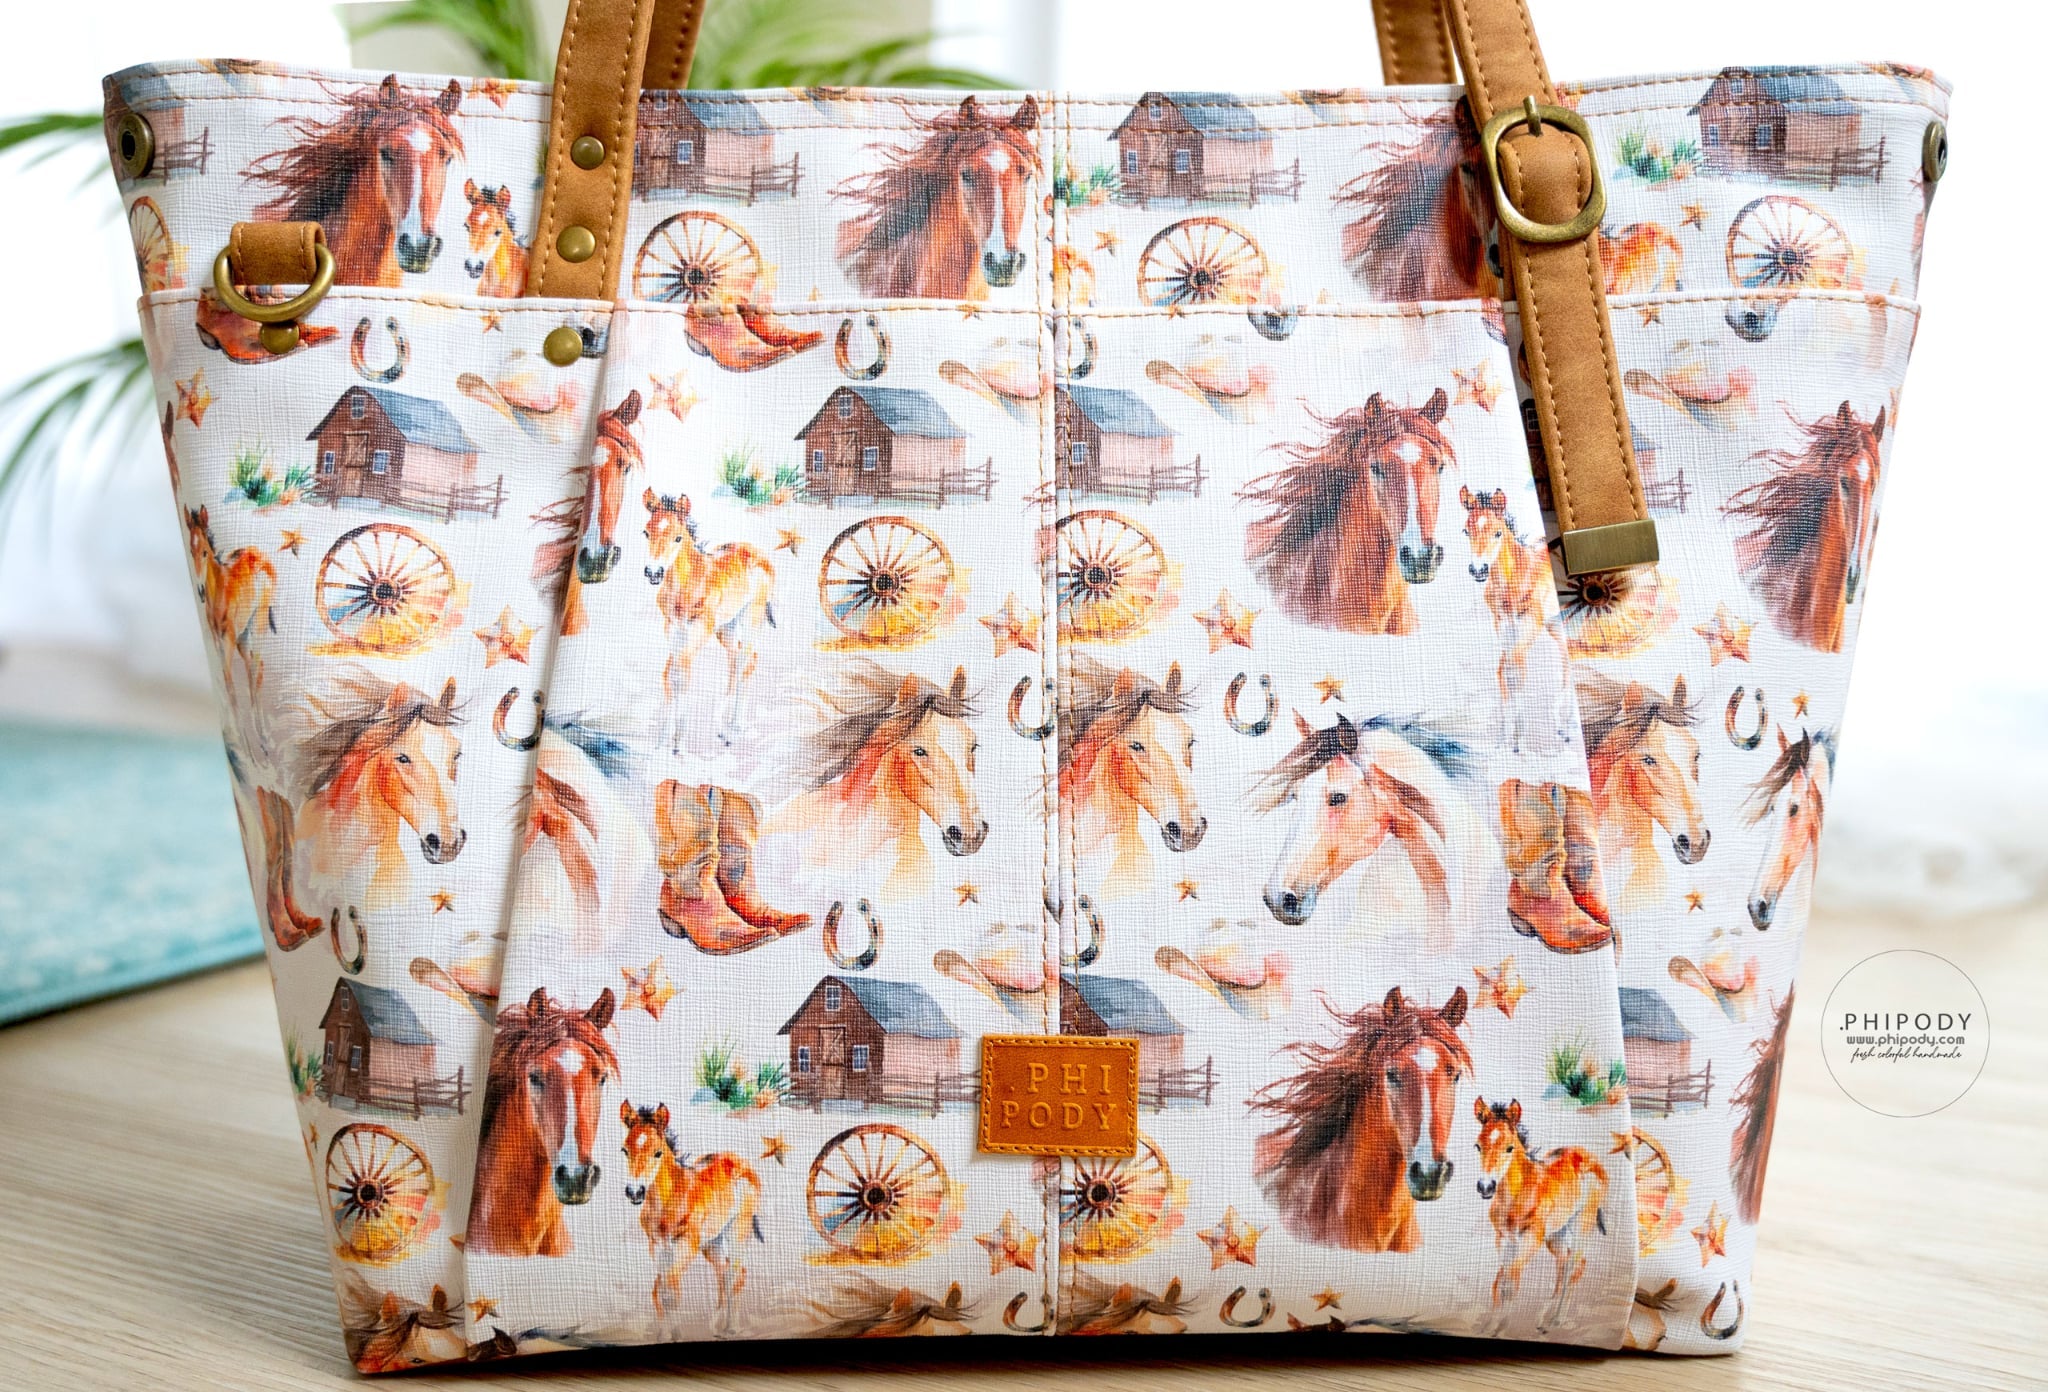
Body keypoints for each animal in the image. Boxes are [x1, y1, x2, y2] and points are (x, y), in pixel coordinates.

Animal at [184, 506, 276, 711]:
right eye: (191, 551)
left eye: (205, 552)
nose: (200, 591)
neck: (220, 594)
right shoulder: (216, 637)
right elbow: (227, 682)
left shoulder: (229, 637)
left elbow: (228, 679)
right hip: (244, 634)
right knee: (251, 668)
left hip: (258, 623)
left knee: (257, 668)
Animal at [620, 1101, 765, 1338]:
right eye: (624, 1150)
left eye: (658, 1153)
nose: (635, 1192)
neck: (669, 1201)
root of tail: (737, 1160)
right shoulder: (658, 1245)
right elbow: (659, 1291)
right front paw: (665, 1336)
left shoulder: (687, 1244)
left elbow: (671, 1290)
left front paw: (676, 1334)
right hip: (712, 1241)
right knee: (723, 1272)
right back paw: (716, 1325)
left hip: (737, 1231)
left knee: (735, 1273)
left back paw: (732, 1327)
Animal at [641, 489, 778, 749]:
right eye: (646, 532)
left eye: (678, 538)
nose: (654, 572)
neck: (687, 587)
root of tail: (757, 552)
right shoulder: (675, 634)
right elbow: (670, 677)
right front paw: (662, 744)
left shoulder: (695, 638)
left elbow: (683, 680)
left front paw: (678, 747)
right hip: (727, 628)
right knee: (739, 660)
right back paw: (726, 728)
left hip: (750, 619)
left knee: (744, 660)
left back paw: (733, 728)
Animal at [1461, 486, 1573, 753]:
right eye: (1466, 531)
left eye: (1498, 532)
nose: (1478, 570)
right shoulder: (1503, 626)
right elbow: (1503, 671)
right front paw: (1505, 742)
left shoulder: (1528, 626)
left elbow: (1518, 669)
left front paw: (1518, 742)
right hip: (1550, 624)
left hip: (1548, 623)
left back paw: (1561, 727)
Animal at [1473, 1097, 1610, 1329]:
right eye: (1478, 1146)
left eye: (1509, 1148)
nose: (1486, 1187)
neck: (1518, 1196)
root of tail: (1588, 1156)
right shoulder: (1504, 1238)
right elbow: (1500, 1283)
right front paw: (1490, 1326)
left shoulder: (1532, 1238)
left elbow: (1512, 1280)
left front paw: (1501, 1327)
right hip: (1556, 1235)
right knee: (1564, 1263)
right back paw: (1544, 1318)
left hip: (1580, 1226)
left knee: (1574, 1266)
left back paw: (1557, 1318)